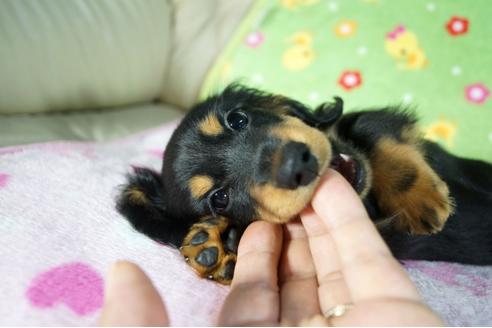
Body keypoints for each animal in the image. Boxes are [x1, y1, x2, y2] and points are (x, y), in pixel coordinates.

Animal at [116, 84, 492, 284]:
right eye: (219, 199)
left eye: (238, 119)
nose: (298, 162)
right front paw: (218, 245)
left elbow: (370, 126)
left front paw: (420, 200)